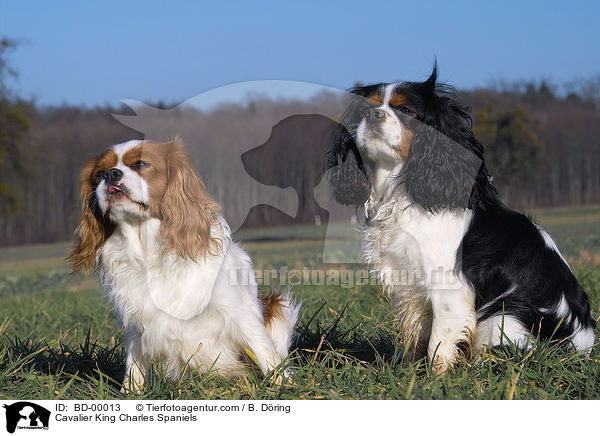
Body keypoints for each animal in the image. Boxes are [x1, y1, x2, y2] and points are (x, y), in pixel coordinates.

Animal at [328, 64, 596, 372]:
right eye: (364, 109)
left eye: (406, 110)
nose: (373, 115)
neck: (400, 192)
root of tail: (584, 348)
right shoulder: (413, 289)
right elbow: (415, 335)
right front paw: (407, 372)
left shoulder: (449, 290)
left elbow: (438, 342)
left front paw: (437, 377)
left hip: (504, 316)